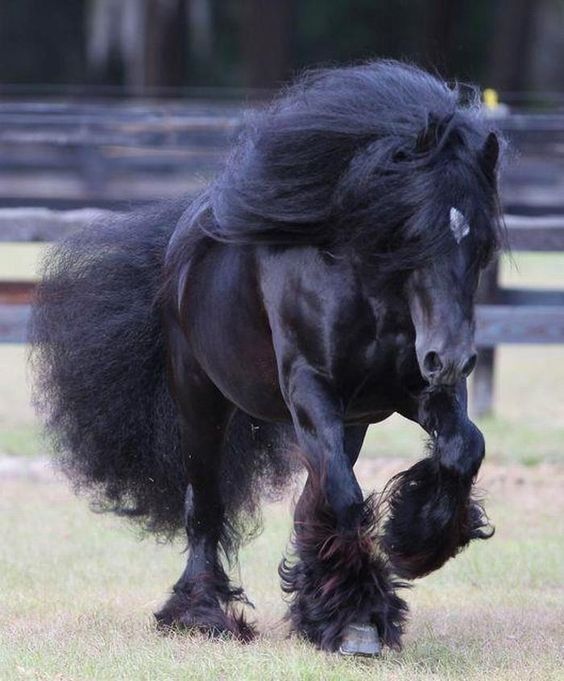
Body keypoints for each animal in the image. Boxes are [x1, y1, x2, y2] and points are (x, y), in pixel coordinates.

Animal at [32, 62, 502, 652]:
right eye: (412, 233)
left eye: (482, 244)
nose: (451, 358)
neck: (365, 284)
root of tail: (178, 248)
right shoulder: (310, 388)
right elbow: (344, 497)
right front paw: (360, 622)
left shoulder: (408, 392)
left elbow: (464, 447)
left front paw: (416, 540)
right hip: (202, 403)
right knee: (207, 506)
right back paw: (203, 613)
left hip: (352, 418)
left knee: (311, 496)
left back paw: (313, 602)